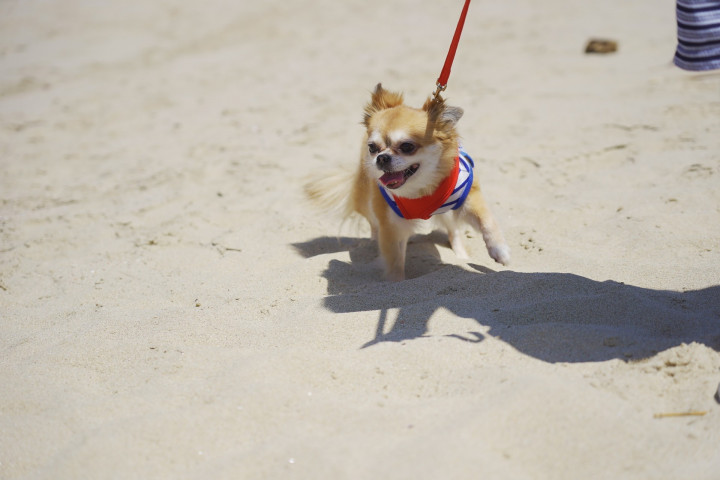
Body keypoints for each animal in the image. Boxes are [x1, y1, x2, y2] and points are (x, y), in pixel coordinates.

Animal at [306, 83, 510, 282]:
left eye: (407, 146)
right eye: (372, 148)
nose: (382, 157)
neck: (420, 188)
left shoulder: (468, 198)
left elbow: (487, 221)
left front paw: (499, 250)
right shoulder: (392, 224)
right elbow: (395, 260)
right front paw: (397, 283)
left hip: (447, 211)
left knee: (454, 230)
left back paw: (461, 255)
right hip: (366, 200)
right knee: (373, 223)